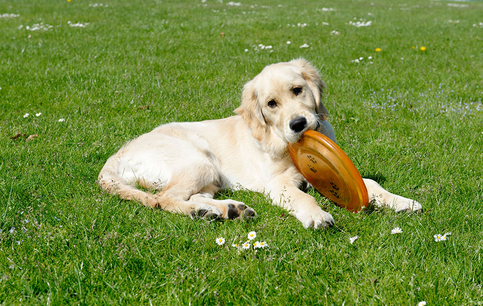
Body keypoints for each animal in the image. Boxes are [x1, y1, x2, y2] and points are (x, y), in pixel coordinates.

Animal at [99, 58, 424, 228]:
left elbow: (370, 183)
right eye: (271, 104)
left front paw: (402, 201)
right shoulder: (278, 184)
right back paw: (204, 212)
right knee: (164, 198)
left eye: (298, 90)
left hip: (210, 176)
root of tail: (117, 155)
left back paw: (225, 209)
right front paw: (317, 215)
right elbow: (303, 198)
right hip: (198, 160)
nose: (298, 124)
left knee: (190, 196)